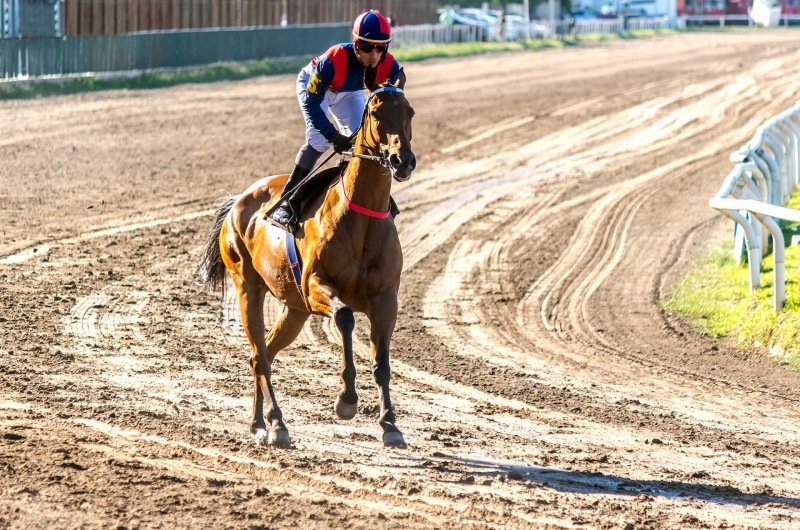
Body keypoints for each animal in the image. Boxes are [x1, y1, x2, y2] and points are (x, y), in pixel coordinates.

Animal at [198, 73, 416, 446]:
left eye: (410, 112)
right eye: (375, 113)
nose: (402, 161)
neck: (362, 219)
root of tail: (238, 202)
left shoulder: (386, 298)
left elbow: (382, 362)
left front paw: (390, 424)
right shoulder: (315, 285)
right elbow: (344, 317)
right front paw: (346, 401)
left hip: (295, 309)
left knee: (265, 353)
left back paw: (259, 424)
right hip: (248, 288)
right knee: (259, 355)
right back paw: (276, 423)